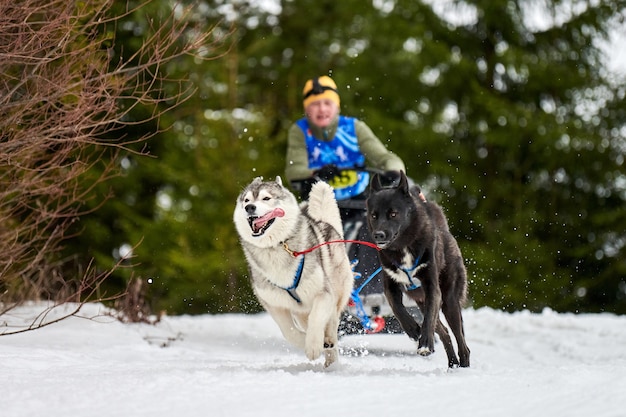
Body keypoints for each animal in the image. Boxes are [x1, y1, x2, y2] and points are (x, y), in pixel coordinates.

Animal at [233, 177, 354, 366]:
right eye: (246, 200)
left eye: (266, 198)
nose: (249, 208)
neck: (275, 247)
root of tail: (324, 223)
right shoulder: (274, 304)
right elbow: (288, 332)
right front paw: (306, 342)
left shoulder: (323, 294)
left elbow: (316, 318)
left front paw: (313, 346)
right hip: (300, 311)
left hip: (337, 292)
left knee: (332, 323)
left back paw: (331, 355)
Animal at [366, 171, 468, 366]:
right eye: (374, 215)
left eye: (393, 214)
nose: (378, 235)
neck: (404, 246)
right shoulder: (390, 286)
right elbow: (397, 309)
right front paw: (413, 329)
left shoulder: (432, 289)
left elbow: (427, 320)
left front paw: (425, 343)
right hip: (422, 302)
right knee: (444, 333)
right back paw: (452, 363)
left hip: (449, 302)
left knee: (461, 341)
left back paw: (464, 365)